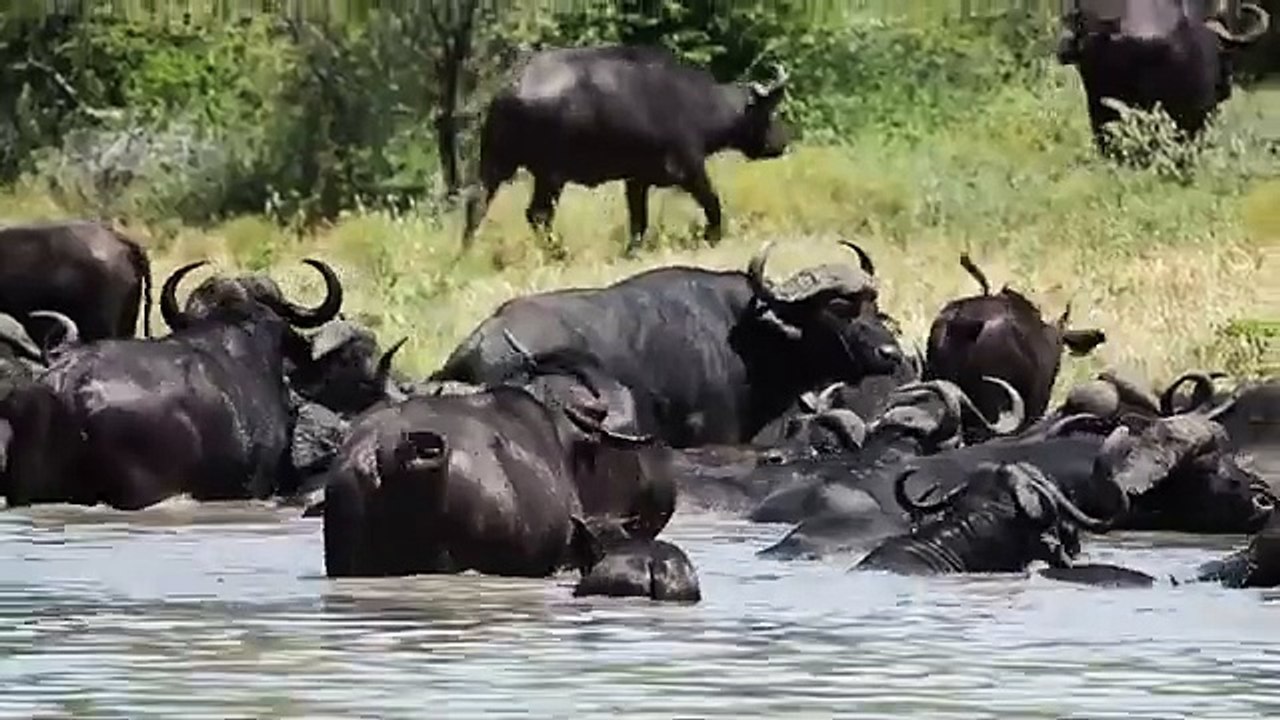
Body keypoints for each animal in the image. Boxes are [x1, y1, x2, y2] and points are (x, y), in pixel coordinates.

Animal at [460, 44, 792, 254]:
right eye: (769, 112)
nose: (782, 141)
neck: (697, 103)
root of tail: (509, 89)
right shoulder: (690, 169)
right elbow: (712, 203)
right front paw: (714, 237)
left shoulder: (636, 181)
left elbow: (638, 221)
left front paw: (633, 251)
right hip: (550, 174)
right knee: (538, 214)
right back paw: (559, 252)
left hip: (497, 164)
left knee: (477, 204)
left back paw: (466, 254)